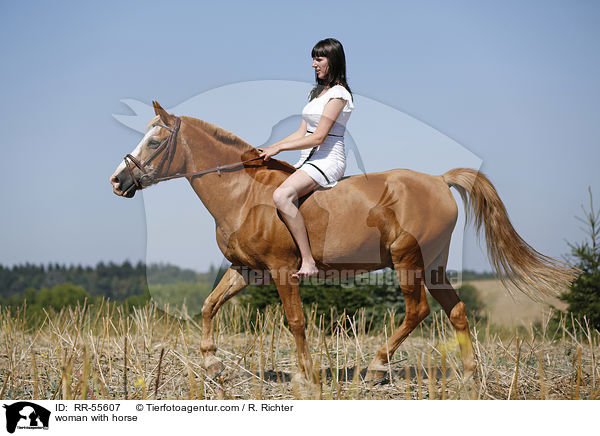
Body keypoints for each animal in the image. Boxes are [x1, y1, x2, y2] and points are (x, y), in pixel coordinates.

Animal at [111, 101, 576, 382]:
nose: (118, 180)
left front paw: (306, 375)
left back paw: (376, 367)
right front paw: (210, 362)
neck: (243, 193)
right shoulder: (245, 270)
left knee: (418, 310)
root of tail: (439, 180)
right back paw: (468, 375)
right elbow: (209, 305)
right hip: (434, 265)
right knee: (457, 311)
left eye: (155, 141)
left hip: (407, 259)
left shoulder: (282, 269)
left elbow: (295, 320)